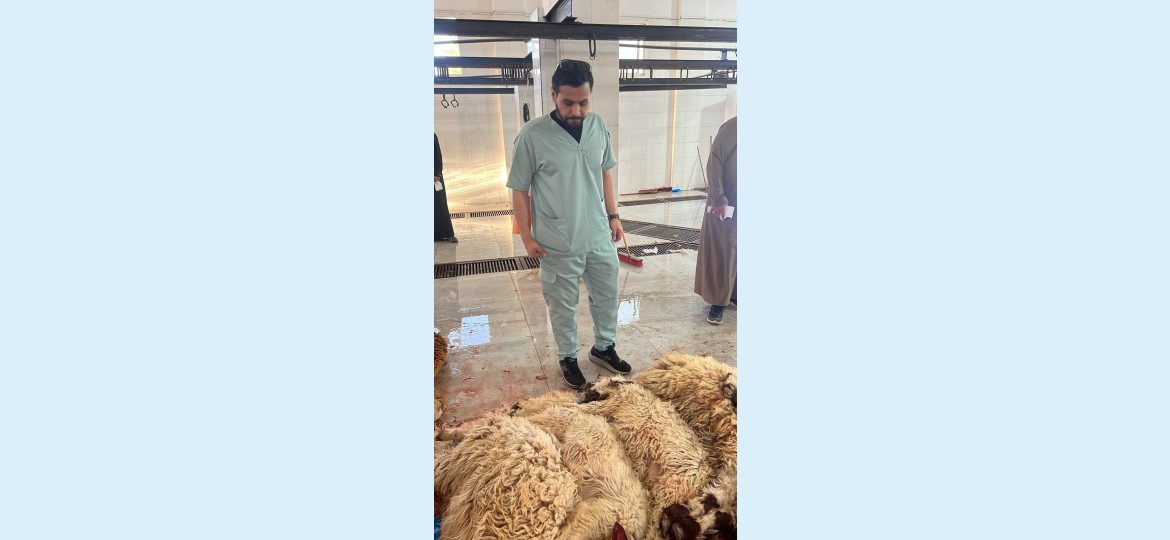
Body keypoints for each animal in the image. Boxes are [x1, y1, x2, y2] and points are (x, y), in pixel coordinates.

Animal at [576, 377, 714, 540]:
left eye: (592, 391)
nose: (581, 388)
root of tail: (703, 478)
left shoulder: (611, 406)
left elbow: (589, 408)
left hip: (668, 492)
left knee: (655, 527)